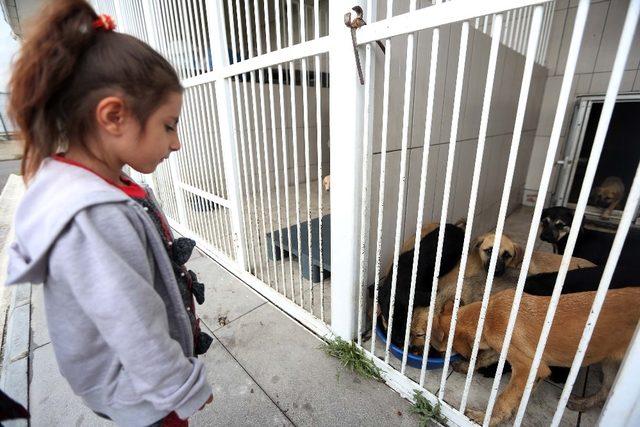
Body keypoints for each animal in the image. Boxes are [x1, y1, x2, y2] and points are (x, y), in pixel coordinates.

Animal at [432, 288, 636, 427]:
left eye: (440, 348)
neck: (487, 316)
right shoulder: (505, 351)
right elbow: (485, 358)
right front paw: (466, 366)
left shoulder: (528, 367)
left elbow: (504, 398)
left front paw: (486, 418)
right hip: (610, 362)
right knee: (606, 388)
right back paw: (584, 402)